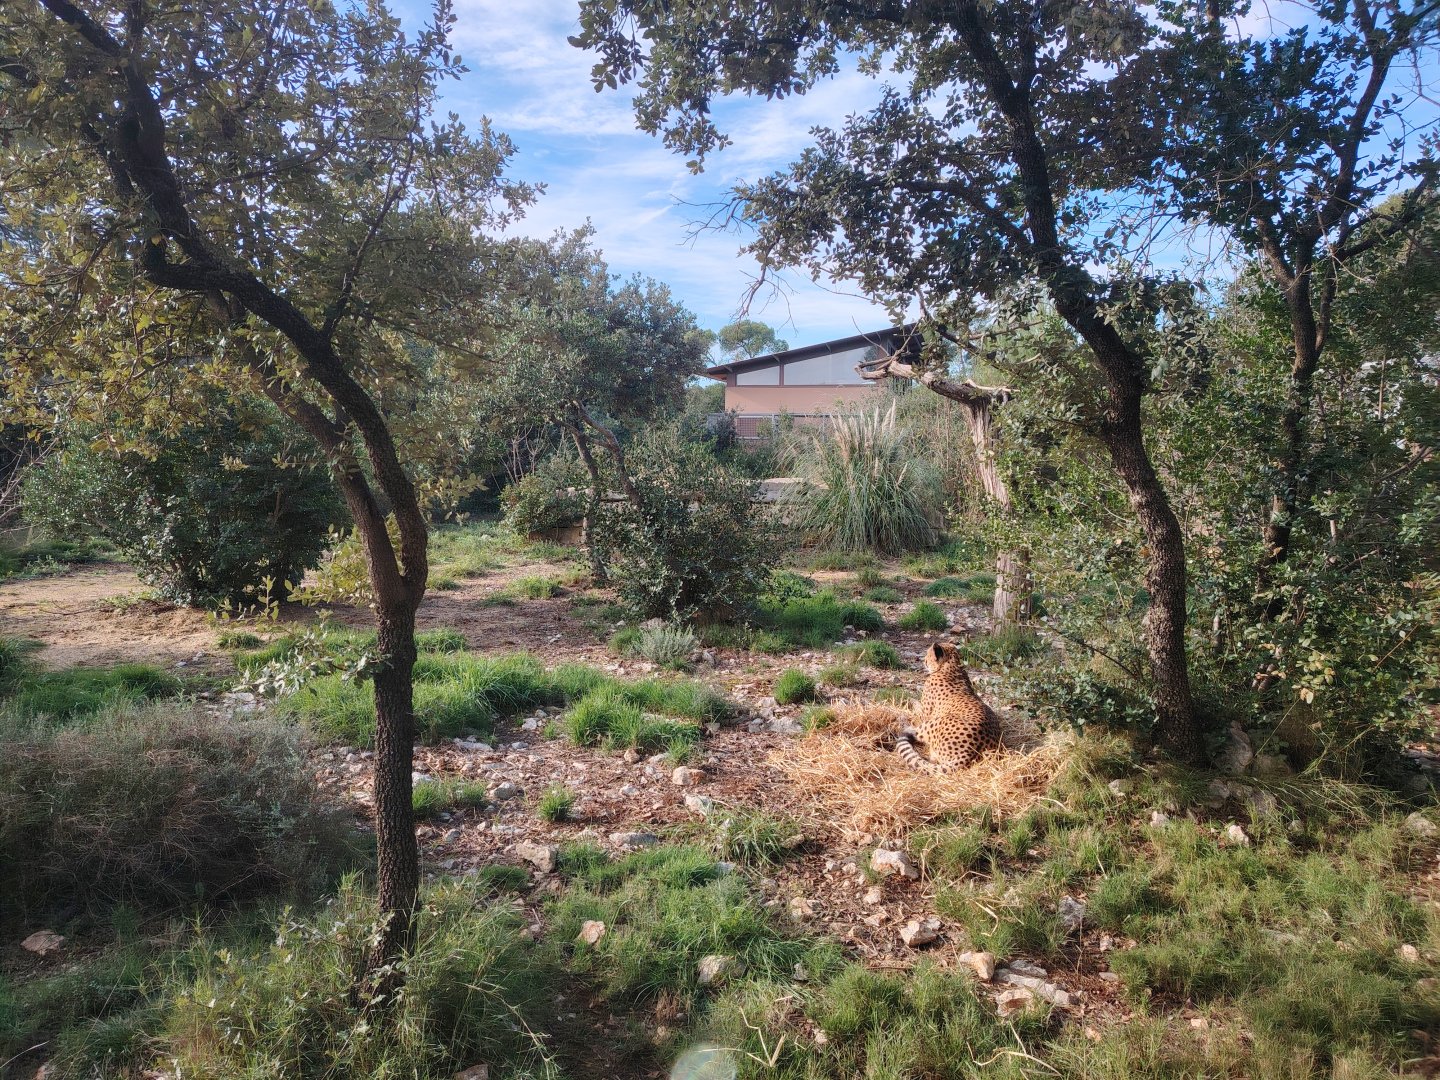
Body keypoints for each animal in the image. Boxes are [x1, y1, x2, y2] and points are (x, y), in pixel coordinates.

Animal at [894, 641, 1002, 773]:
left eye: (928, 654)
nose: (923, 660)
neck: (952, 666)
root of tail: (968, 753)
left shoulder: (924, 715)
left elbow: (916, 709)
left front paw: (909, 702)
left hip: (934, 723)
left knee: (912, 732)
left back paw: (901, 722)